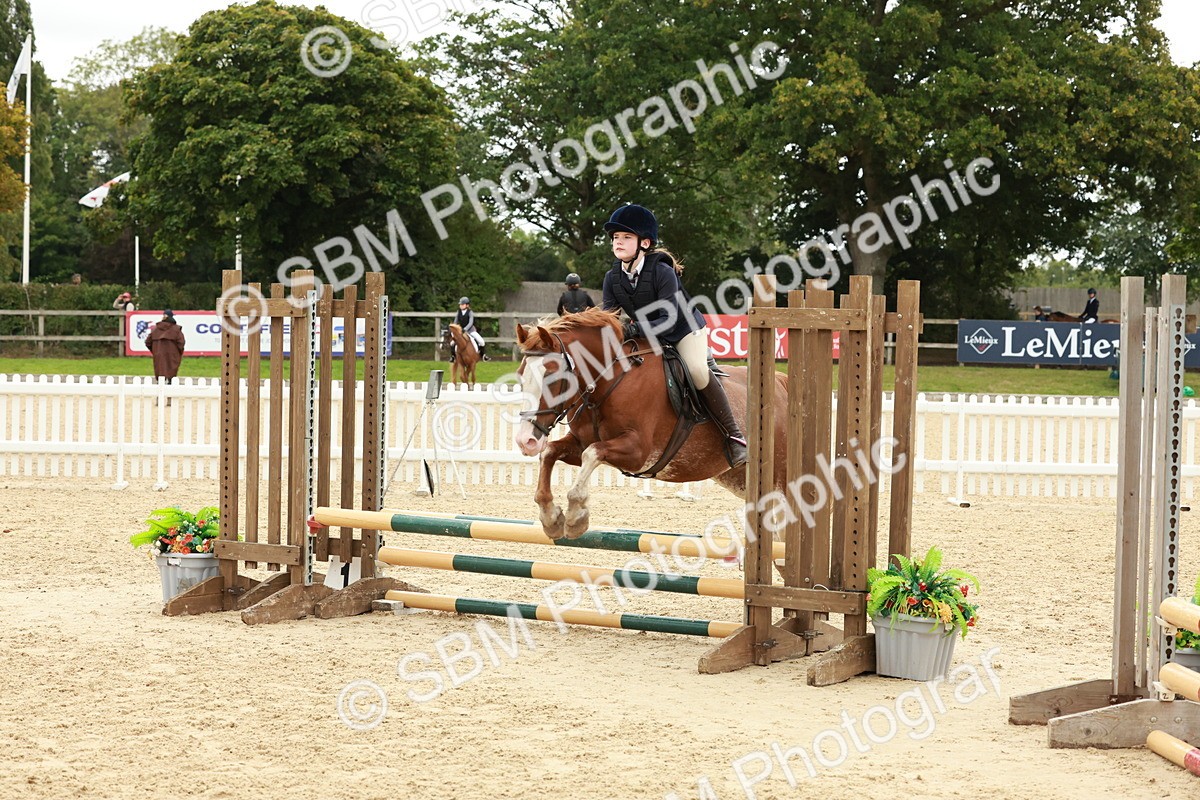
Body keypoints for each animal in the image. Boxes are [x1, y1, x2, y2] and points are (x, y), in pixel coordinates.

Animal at [513, 308, 790, 540]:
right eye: (521, 375)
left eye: (552, 378)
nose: (525, 441)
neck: (608, 381)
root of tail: (781, 383)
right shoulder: (580, 442)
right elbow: (550, 452)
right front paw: (551, 519)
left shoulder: (638, 451)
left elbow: (593, 454)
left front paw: (575, 517)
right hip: (739, 479)